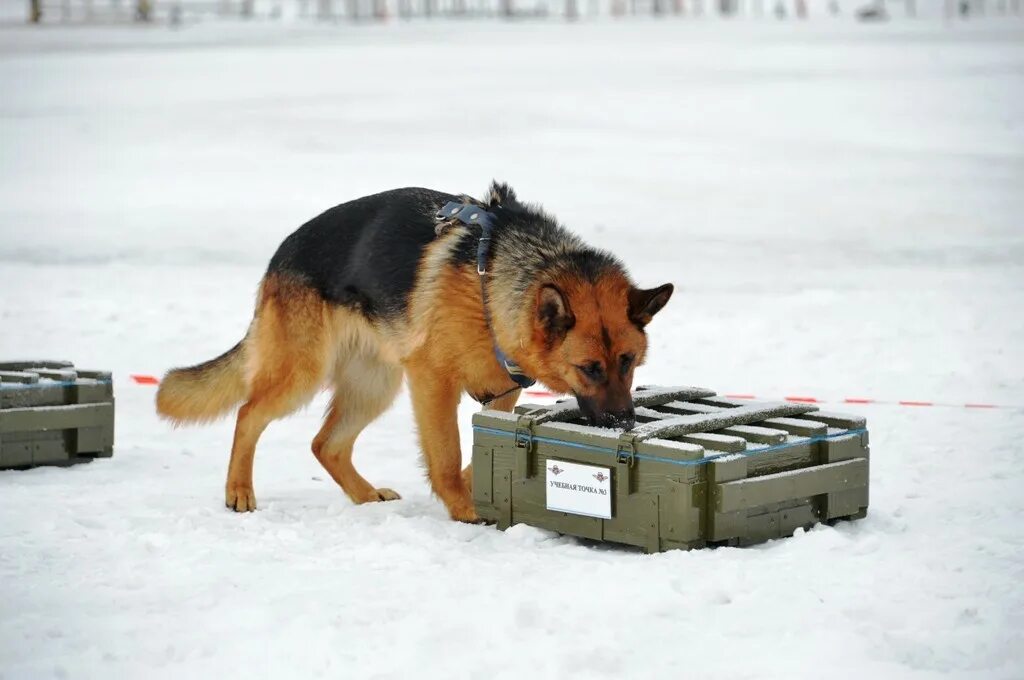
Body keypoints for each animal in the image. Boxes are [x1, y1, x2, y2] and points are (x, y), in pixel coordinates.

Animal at [157, 180, 671, 520]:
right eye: (589, 368)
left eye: (628, 363)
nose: (624, 423)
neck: (491, 285)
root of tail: (281, 254)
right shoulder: (432, 383)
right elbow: (445, 458)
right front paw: (465, 507)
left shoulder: (502, 389)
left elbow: (477, 450)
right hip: (304, 374)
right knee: (249, 414)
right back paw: (239, 490)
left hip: (374, 386)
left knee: (326, 444)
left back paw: (364, 498)